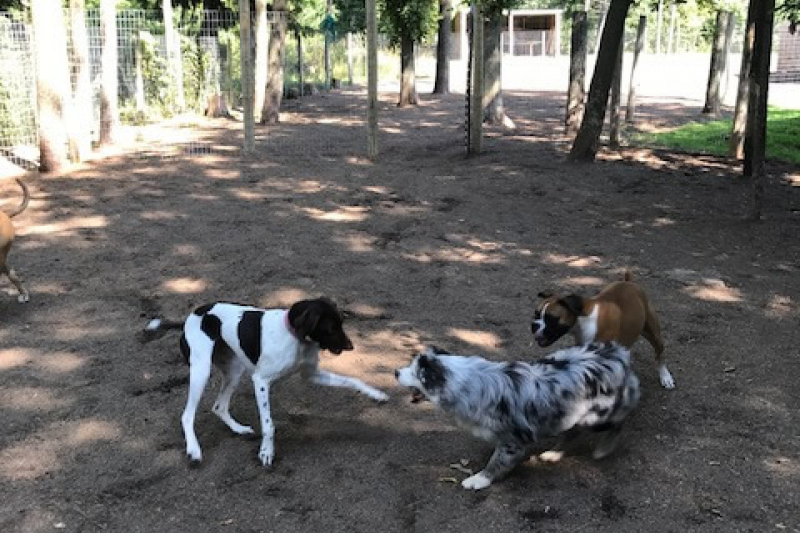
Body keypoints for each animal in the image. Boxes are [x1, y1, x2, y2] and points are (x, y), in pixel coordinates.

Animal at [148, 298, 392, 464]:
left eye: (342, 323)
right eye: (331, 327)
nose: (351, 346)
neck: (295, 338)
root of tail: (189, 318)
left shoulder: (312, 375)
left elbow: (353, 380)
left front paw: (377, 394)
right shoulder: (261, 381)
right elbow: (269, 425)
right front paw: (267, 452)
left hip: (234, 371)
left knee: (219, 406)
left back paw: (239, 429)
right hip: (201, 370)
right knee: (187, 415)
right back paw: (194, 449)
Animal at [396, 342, 640, 488]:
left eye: (416, 373)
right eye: (410, 365)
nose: (396, 372)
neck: (467, 384)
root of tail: (618, 353)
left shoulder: (513, 440)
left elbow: (497, 462)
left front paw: (478, 480)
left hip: (598, 415)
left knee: (618, 422)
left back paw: (603, 449)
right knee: (572, 433)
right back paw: (553, 454)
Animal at [532, 272, 676, 388]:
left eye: (551, 318)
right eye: (536, 314)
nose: (534, 325)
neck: (583, 321)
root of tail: (629, 282)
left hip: (653, 334)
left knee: (660, 354)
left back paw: (665, 377)